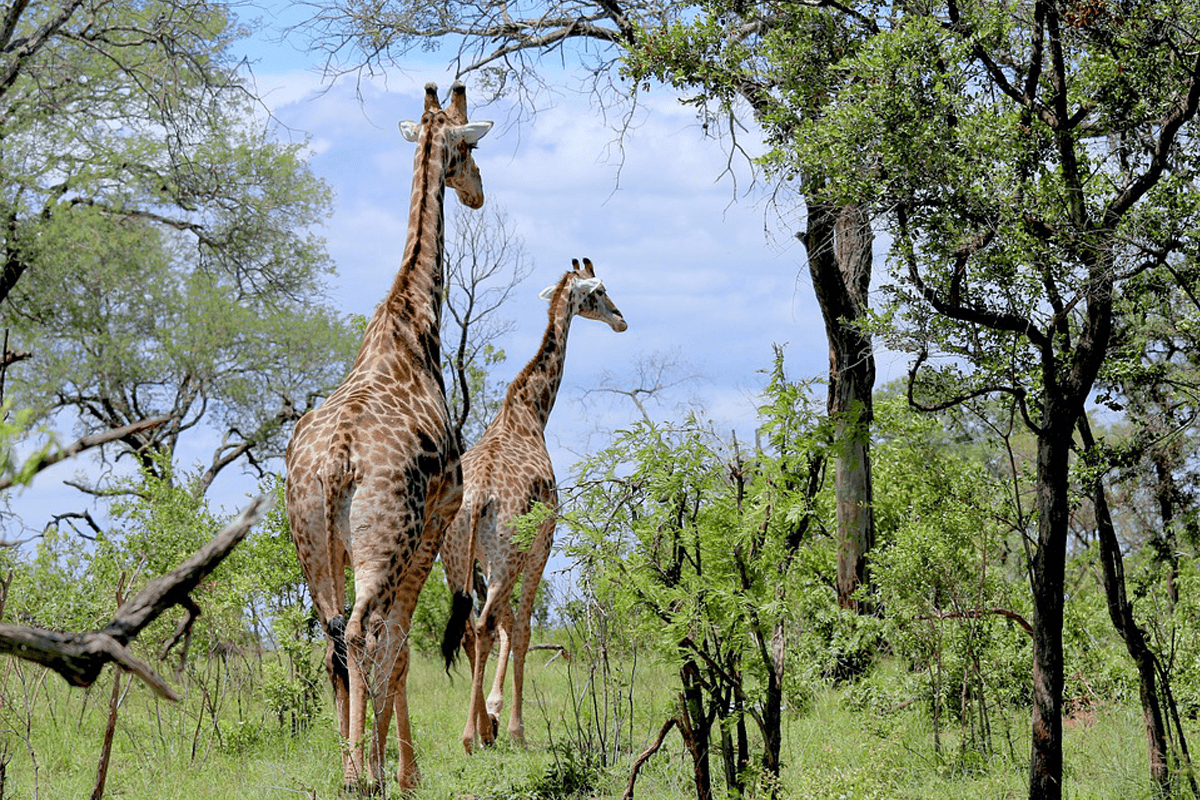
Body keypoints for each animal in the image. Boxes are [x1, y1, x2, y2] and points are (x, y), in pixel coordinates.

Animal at [283, 82, 489, 796]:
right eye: (469, 149)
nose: (478, 193)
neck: (413, 318)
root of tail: (336, 462)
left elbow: (375, 653)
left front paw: (384, 764)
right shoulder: (436, 522)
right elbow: (400, 650)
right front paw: (403, 771)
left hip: (313, 546)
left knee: (333, 637)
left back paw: (348, 768)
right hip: (387, 540)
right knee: (365, 635)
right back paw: (361, 774)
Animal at [441, 256, 628, 753]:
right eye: (599, 291)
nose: (622, 319)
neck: (531, 409)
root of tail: (478, 498)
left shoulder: (489, 559)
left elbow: (509, 624)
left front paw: (493, 712)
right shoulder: (542, 541)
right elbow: (522, 627)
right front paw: (514, 727)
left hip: (455, 555)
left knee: (471, 627)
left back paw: (478, 729)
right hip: (506, 554)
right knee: (486, 624)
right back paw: (473, 734)